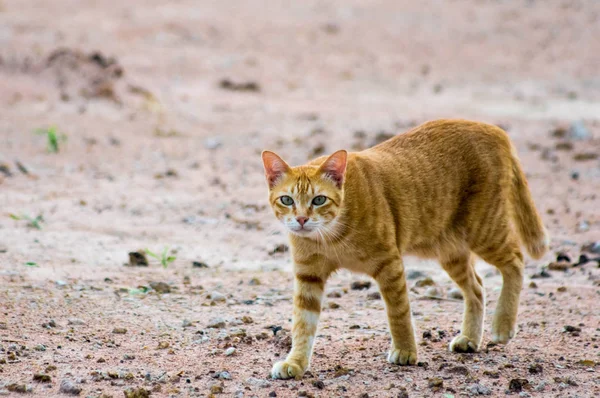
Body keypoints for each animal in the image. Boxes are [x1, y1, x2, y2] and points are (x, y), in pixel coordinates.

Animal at [260, 118, 552, 380]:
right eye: (287, 200)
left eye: (319, 200)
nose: (301, 219)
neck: (329, 237)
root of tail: (491, 128)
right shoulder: (308, 275)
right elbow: (302, 324)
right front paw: (295, 363)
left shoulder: (389, 263)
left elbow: (398, 312)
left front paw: (405, 351)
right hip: (450, 249)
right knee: (477, 288)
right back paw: (469, 338)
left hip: (484, 230)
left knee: (516, 261)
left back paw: (503, 325)